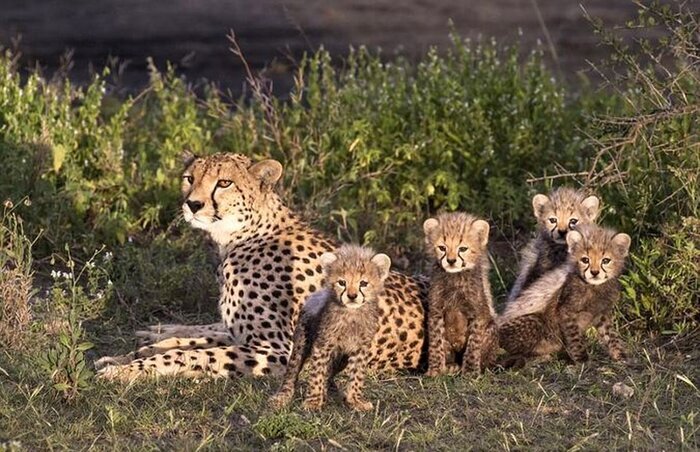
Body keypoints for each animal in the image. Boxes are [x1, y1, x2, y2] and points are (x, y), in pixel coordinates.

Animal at [96, 154, 430, 380]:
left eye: (224, 183)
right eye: (190, 178)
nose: (193, 204)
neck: (242, 236)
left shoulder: (279, 351)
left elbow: (193, 355)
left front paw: (128, 370)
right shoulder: (240, 333)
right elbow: (191, 337)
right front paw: (126, 355)